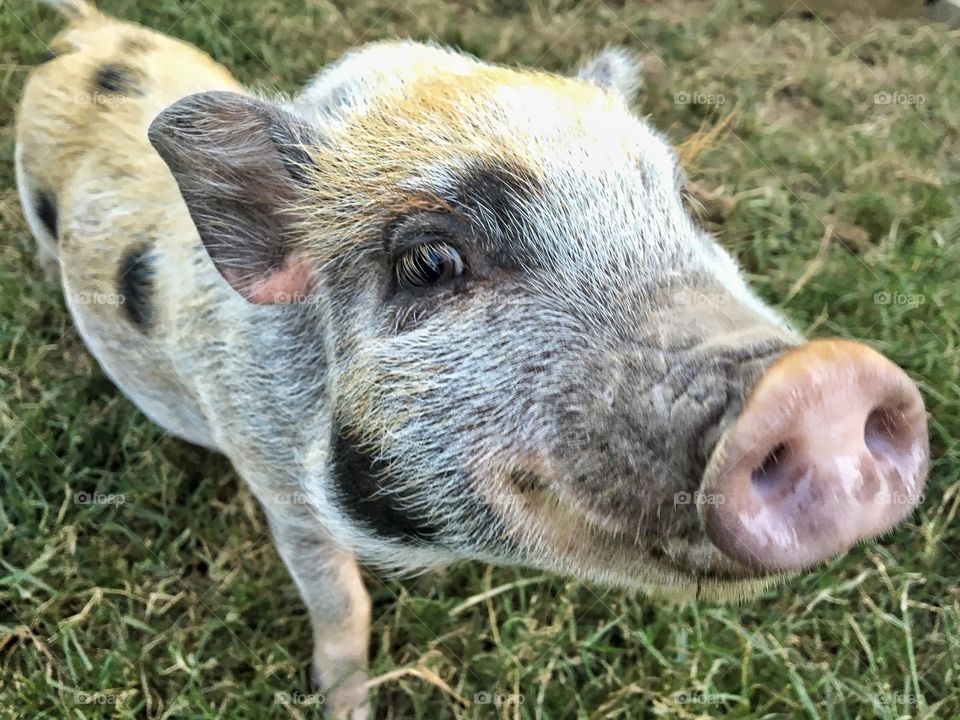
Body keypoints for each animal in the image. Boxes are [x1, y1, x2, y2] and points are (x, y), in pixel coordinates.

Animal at [15, 1, 930, 717]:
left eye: (685, 210)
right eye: (429, 262)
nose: (824, 378)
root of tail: (86, 31)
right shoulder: (278, 486)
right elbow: (341, 605)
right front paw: (349, 706)